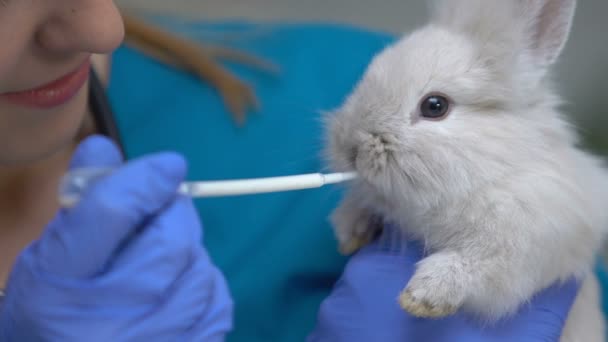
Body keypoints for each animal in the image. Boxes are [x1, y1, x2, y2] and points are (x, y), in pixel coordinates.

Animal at [326, 0, 608, 340]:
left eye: (435, 106)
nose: (351, 149)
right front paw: (350, 233)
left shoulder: (532, 235)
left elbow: (476, 264)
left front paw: (423, 296)